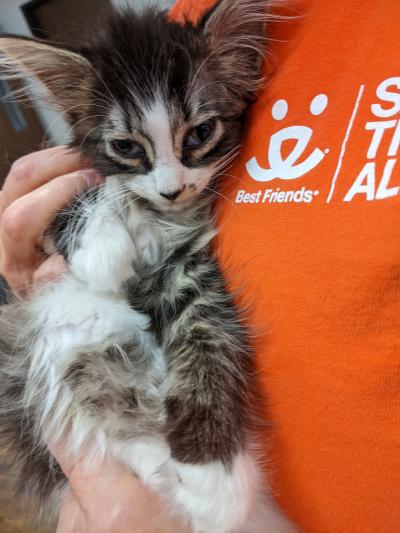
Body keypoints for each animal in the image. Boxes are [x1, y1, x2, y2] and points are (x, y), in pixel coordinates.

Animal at [0, 1, 294, 532]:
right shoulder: (56, 179)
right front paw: (101, 251)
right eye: (127, 147)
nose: (171, 190)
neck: (156, 217)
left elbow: (206, 333)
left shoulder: (187, 265)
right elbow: (84, 198)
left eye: (201, 133)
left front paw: (213, 478)